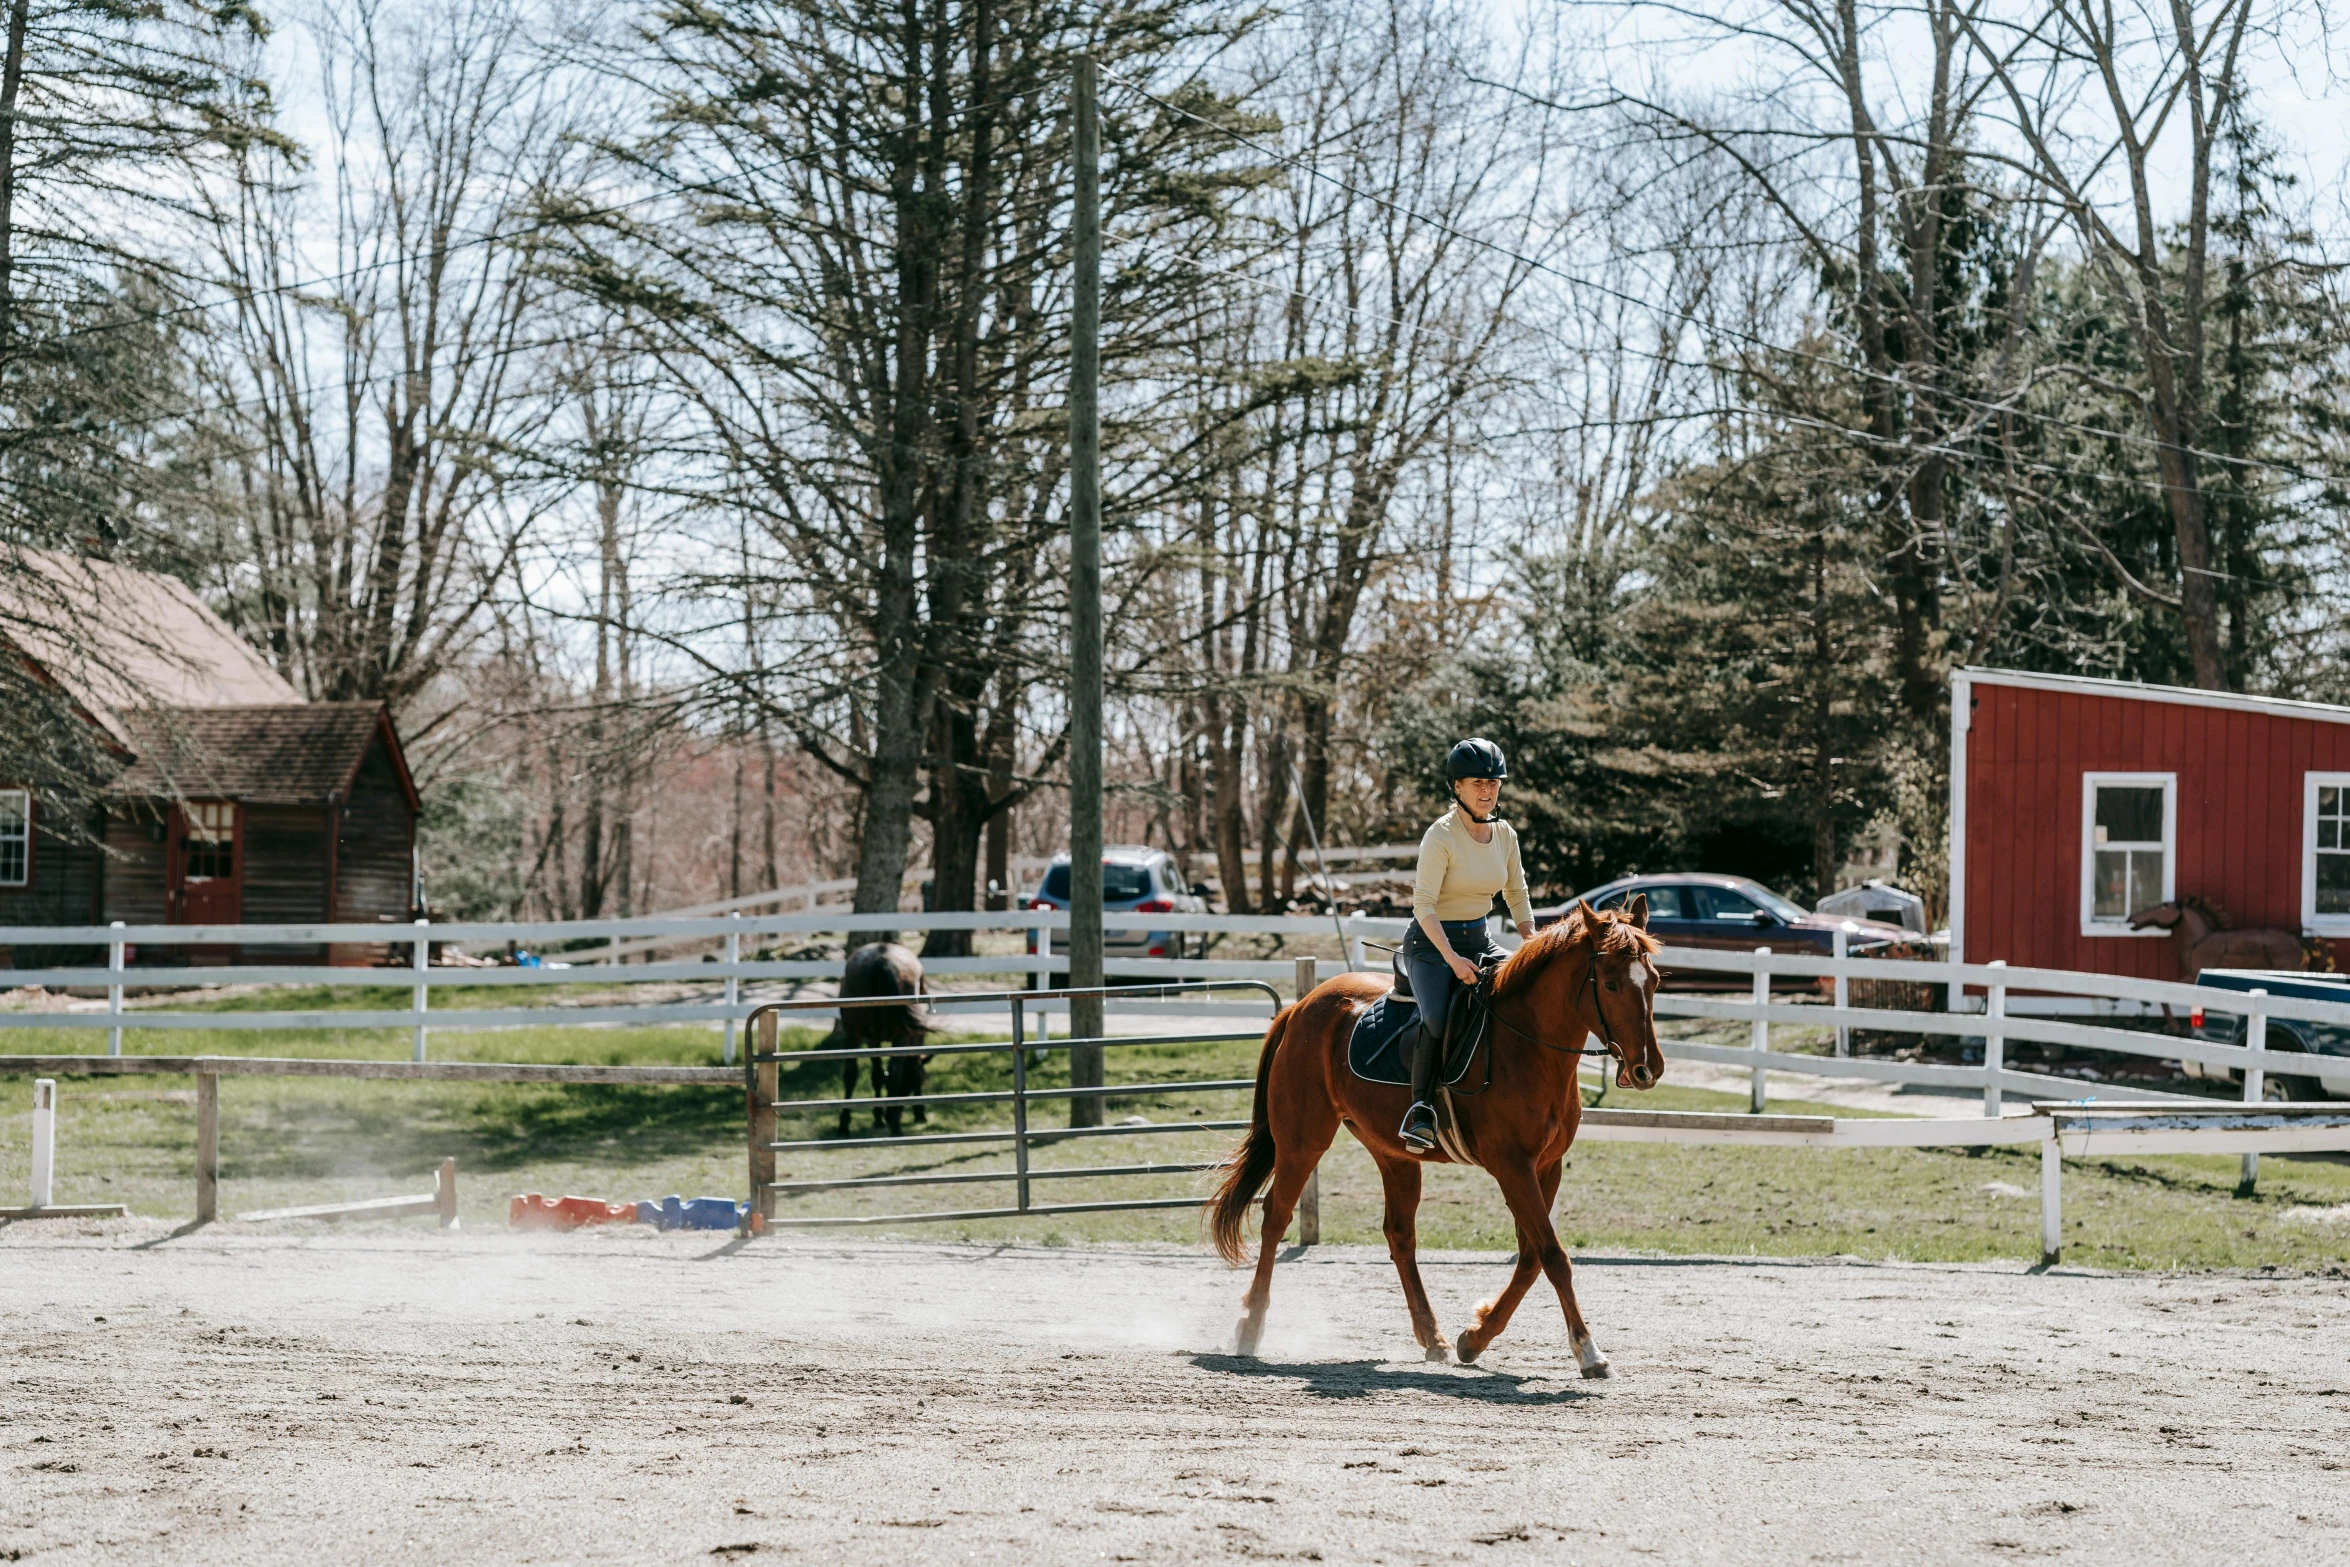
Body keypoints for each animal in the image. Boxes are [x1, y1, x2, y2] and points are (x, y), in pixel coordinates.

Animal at [1212, 902, 1673, 1381]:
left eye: (1654, 982)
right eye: (1611, 984)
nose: (1648, 1069)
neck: (1526, 1047)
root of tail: (1303, 1005)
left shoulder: (1547, 1166)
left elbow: (1532, 1257)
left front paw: (1476, 1337)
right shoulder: (1512, 1166)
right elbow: (1553, 1255)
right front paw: (1588, 1350)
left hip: (1393, 1154)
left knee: (1400, 1235)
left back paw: (1432, 1338)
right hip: (1303, 1141)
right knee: (1276, 1218)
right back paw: (1250, 1326)